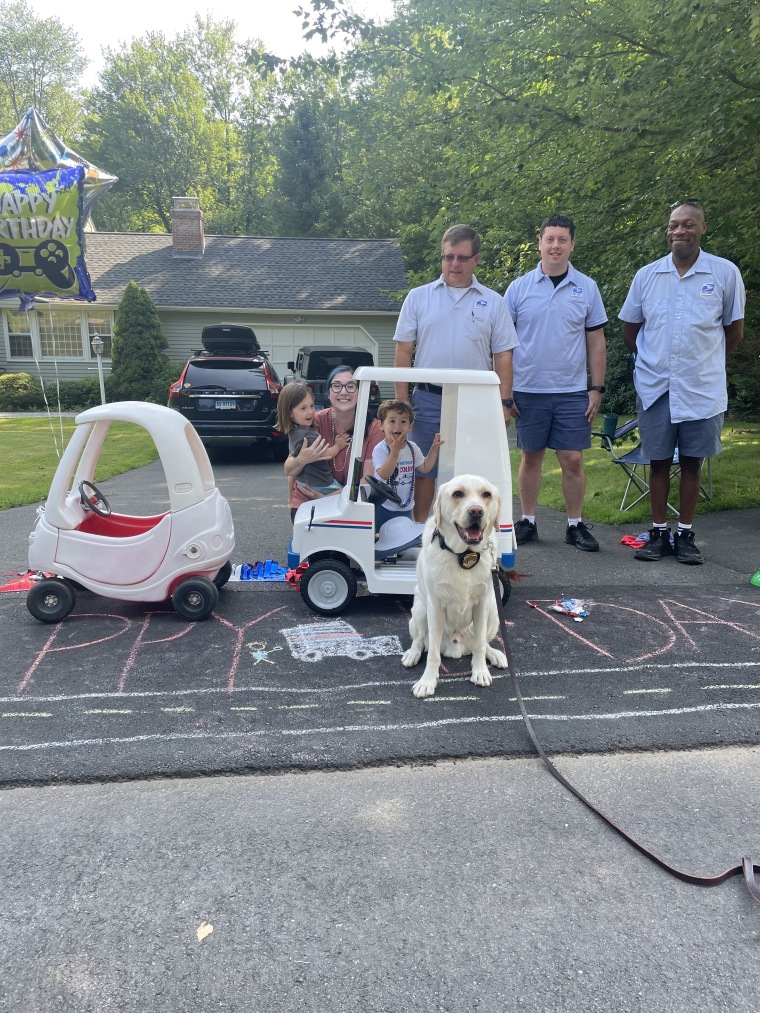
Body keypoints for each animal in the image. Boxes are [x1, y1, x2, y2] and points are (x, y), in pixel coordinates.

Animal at [405, 474, 506, 696]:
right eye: (458, 494)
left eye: (487, 495)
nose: (476, 511)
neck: (464, 555)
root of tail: (456, 645)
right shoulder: (435, 606)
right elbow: (433, 653)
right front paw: (427, 681)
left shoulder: (482, 603)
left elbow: (479, 645)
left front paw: (480, 671)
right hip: (420, 609)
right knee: (419, 640)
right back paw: (412, 654)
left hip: (493, 611)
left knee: (483, 643)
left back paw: (494, 654)